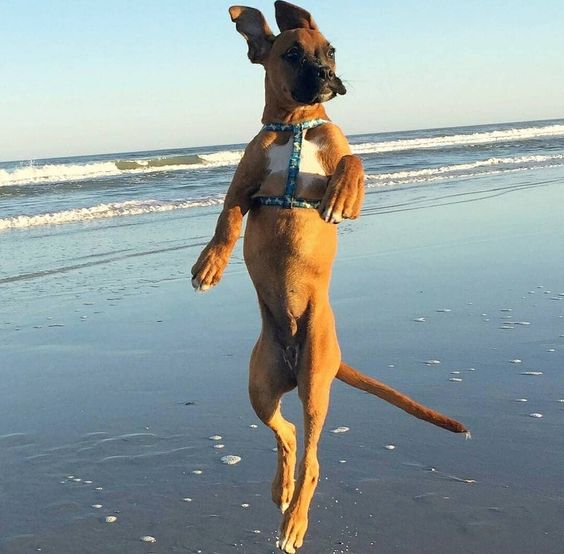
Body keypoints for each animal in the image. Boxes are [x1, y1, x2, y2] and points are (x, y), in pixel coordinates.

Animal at [189, 3, 468, 548]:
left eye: (331, 50)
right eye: (292, 55)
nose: (326, 76)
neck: (295, 125)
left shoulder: (336, 154)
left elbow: (353, 161)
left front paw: (343, 194)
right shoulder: (242, 185)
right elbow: (226, 219)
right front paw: (209, 264)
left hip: (315, 383)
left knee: (313, 458)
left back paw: (295, 519)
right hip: (261, 387)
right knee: (289, 436)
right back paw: (282, 492)